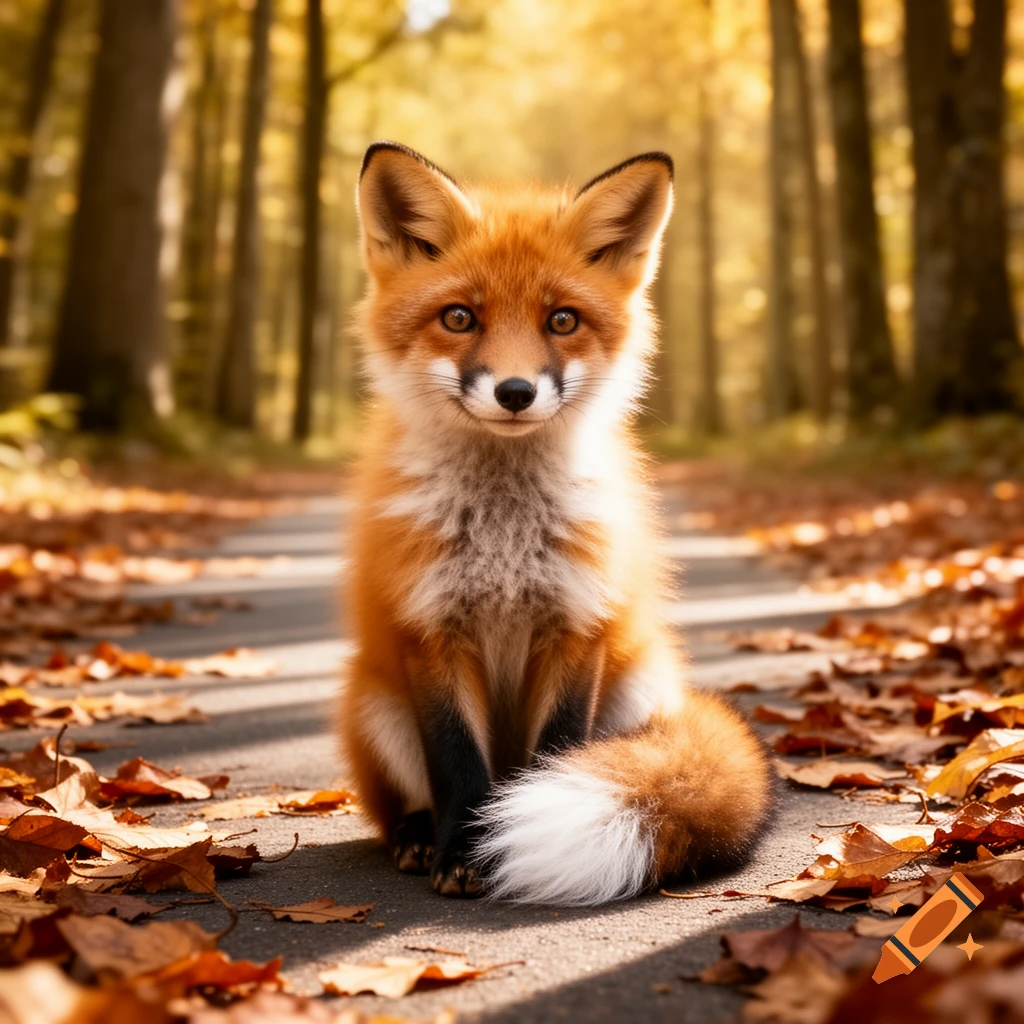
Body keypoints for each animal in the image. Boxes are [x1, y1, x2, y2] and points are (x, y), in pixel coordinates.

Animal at [340, 141, 773, 905]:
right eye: (460, 318)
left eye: (562, 321)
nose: (515, 392)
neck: (505, 536)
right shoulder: (431, 628)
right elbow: (456, 762)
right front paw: (464, 853)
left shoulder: (577, 622)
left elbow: (557, 753)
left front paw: (509, 837)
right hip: (375, 706)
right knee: (399, 806)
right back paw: (418, 838)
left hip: (635, 689)